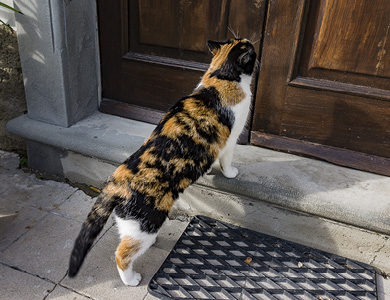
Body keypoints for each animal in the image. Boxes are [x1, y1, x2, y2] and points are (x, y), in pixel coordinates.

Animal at [68, 38, 256, 286]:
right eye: (250, 49)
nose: (253, 43)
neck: (220, 76)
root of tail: (117, 181)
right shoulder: (231, 140)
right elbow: (226, 160)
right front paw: (231, 172)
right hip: (146, 223)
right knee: (121, 253)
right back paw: (131, 279)